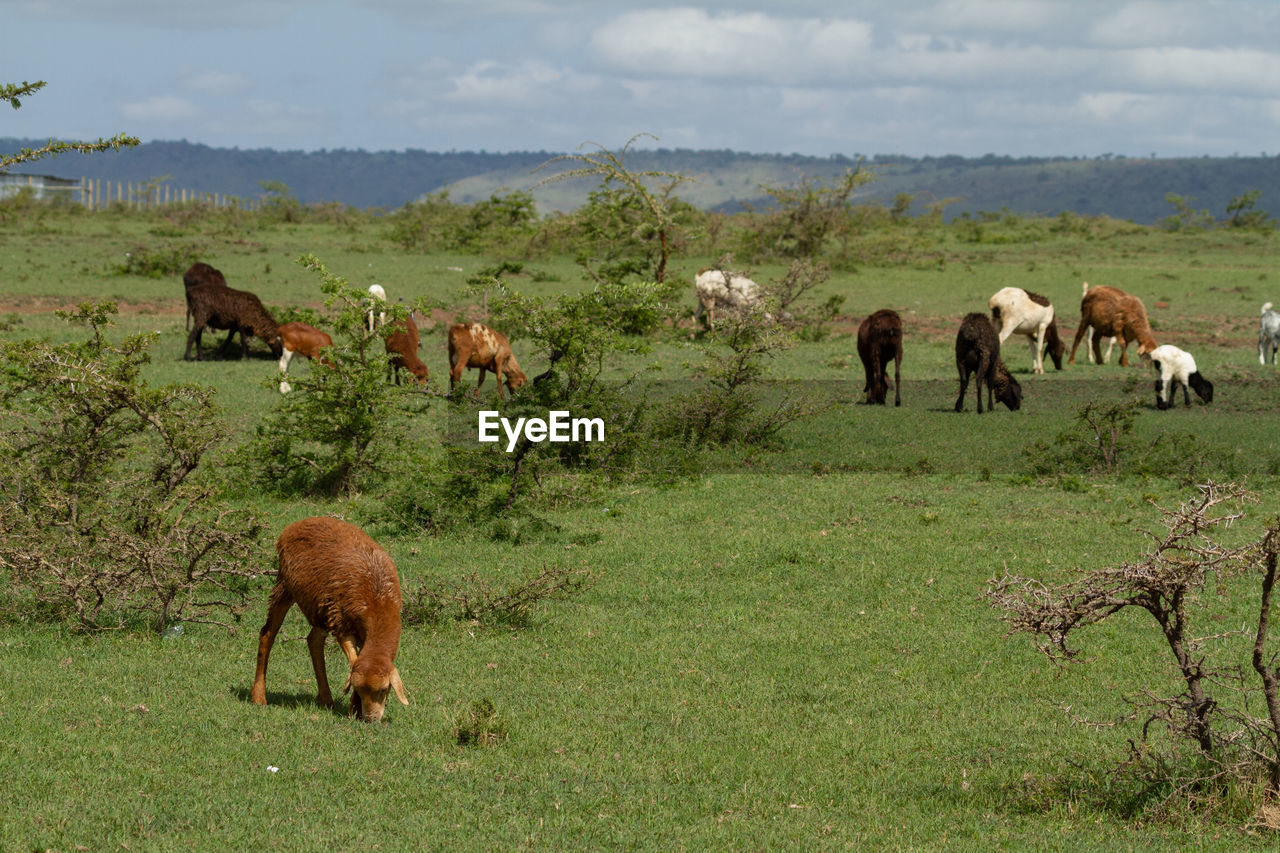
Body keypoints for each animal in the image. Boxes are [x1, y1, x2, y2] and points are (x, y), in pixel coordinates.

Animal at [249, 514, 409, 722]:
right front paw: (354, 707)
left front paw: (354, 708)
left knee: (313, 640)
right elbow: (354, 661)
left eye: (384, 690)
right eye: (359, 689)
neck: (378, 601)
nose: (370, 719)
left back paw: (326, 698)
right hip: (284, 585)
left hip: (321, 608)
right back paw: (259, 696)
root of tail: (296, 524)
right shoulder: (342, 625)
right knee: (267, 634)